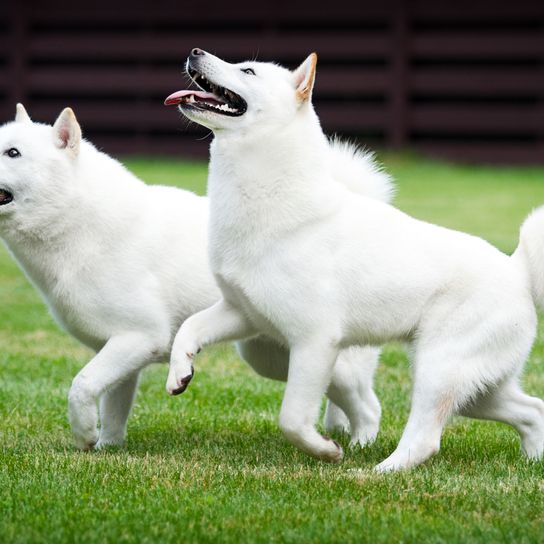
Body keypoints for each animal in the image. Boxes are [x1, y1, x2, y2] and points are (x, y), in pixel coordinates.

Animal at [0, 105, 392, 450]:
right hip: (276, 357)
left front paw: (84, 435)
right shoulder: (119, 350)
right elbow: (113, 410)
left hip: (323, 358)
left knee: (370, 407)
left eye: (13, 153)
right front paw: (106, 448)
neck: (78, 220)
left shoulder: (140, 337)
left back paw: (359, 447)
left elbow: (81, 386)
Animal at [165, 49, 544, 470]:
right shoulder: (242, 313)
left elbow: (292, 419)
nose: (195, 52)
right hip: (477, 389)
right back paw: (532, 462)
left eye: (248, 71)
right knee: (533, 410)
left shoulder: (315, 342)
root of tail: (518, 270)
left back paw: (379, 471)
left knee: (426, 438)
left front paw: (326, 451)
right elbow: (189, 329)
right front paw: (179, 372)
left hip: (438, 369)